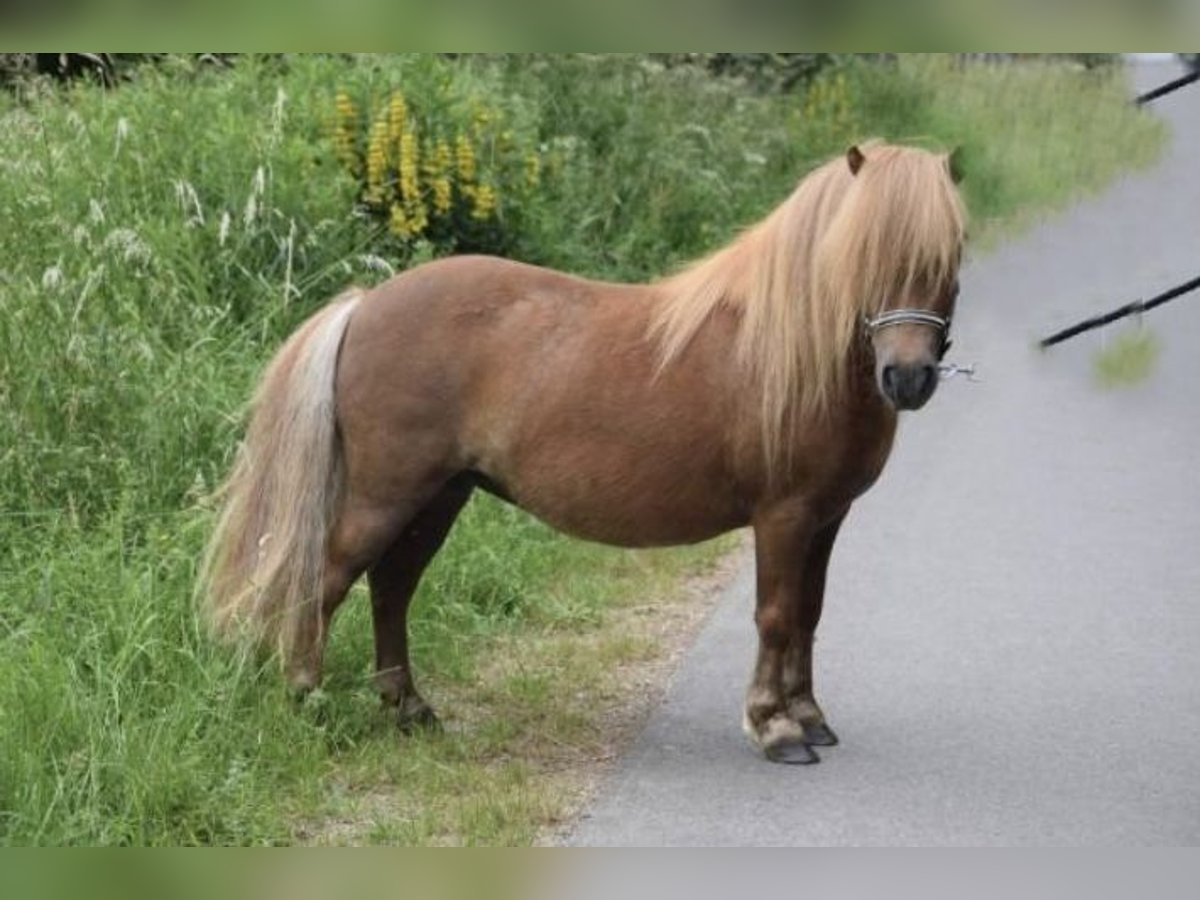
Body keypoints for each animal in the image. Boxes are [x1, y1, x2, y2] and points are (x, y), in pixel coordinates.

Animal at [196, 142, 964, 768]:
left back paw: (409, 710)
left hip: (440, 496)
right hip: (387, 495)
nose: (908, 378)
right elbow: (776, 615)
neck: (792, 347)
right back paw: (306, 700)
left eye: (950, 257)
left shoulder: (826, 519)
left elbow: (809, 613)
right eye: (864, 255)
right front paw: (774, 730)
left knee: (392, 587)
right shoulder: (784, 517)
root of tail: (366, 304)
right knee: (328, 578)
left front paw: (809, 717)